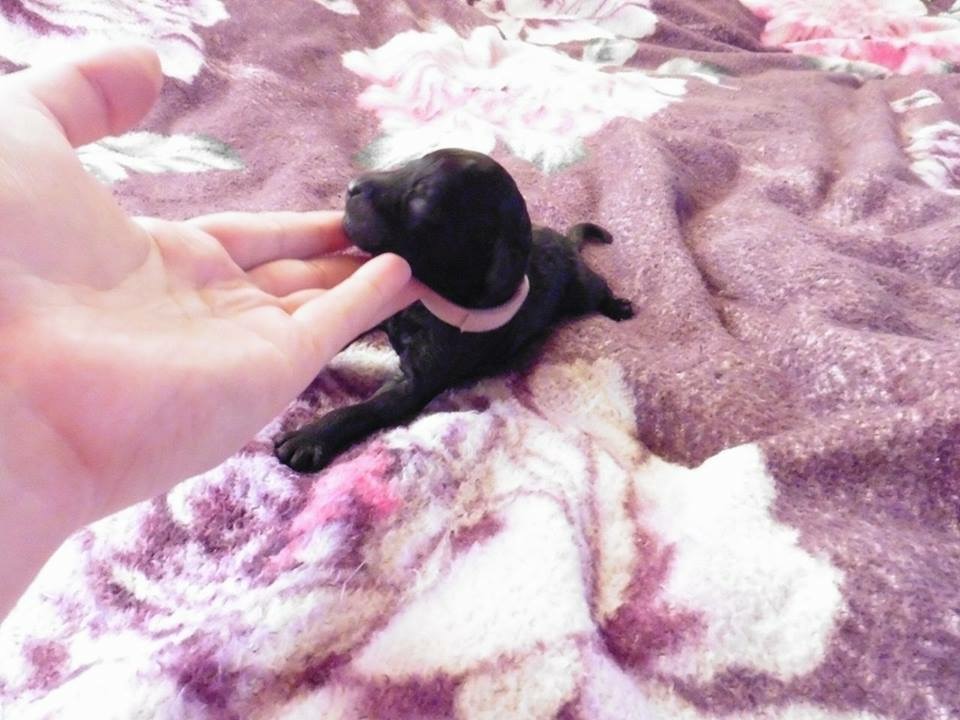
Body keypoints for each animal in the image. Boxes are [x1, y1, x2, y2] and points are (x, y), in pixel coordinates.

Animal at [275, 149, 634, 472]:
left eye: (422, 199)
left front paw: (309, 438)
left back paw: (619, 306)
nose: (351, 186)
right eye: (411, 163)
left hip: (581, 289)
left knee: (598, 289)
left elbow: (365, 409)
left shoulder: (415, 384)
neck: (425, 296)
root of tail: (565, 240)